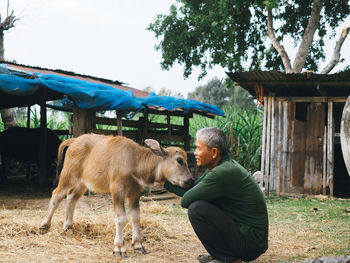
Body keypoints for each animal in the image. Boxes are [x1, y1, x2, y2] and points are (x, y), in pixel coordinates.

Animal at [39, 134, 193, 258]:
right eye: (179, 160)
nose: (190, 180)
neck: (134, 161)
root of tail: (76, 140)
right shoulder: (117, 190)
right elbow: (121, 218)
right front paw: (119, 247)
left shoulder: (135, 193)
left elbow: (136, 217)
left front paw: (138, 245)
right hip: (69, 175)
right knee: (57, 195)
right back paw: (44, 225)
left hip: (83, 182)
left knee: (72, 197)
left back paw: (68, 227)